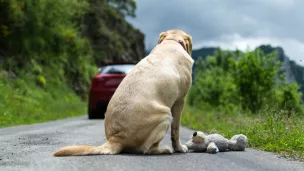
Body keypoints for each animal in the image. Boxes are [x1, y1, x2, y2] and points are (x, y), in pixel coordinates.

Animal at [52, 29, 194, 156]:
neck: (171, 41)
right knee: (146, 149)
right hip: (165, 115)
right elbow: (176, 130)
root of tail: (117, 138)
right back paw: (165, 149)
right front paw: (179, 148)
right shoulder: (180, 100)